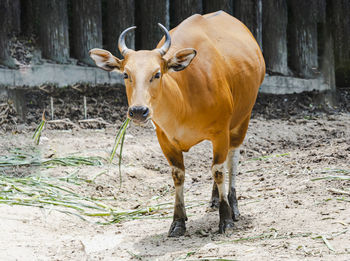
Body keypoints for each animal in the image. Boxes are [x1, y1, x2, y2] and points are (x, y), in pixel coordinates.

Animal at [90, 10, 266, 236]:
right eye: (126, 74)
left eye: (157, 73)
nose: (138, 111)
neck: (184, 102)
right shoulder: (165, 139)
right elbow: (178, 175)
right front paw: (178, 221)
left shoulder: (221, 132)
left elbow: (219, 170)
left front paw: (225, 219)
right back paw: (215, 199)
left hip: (243, 118)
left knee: (231, 159)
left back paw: (232, 203)